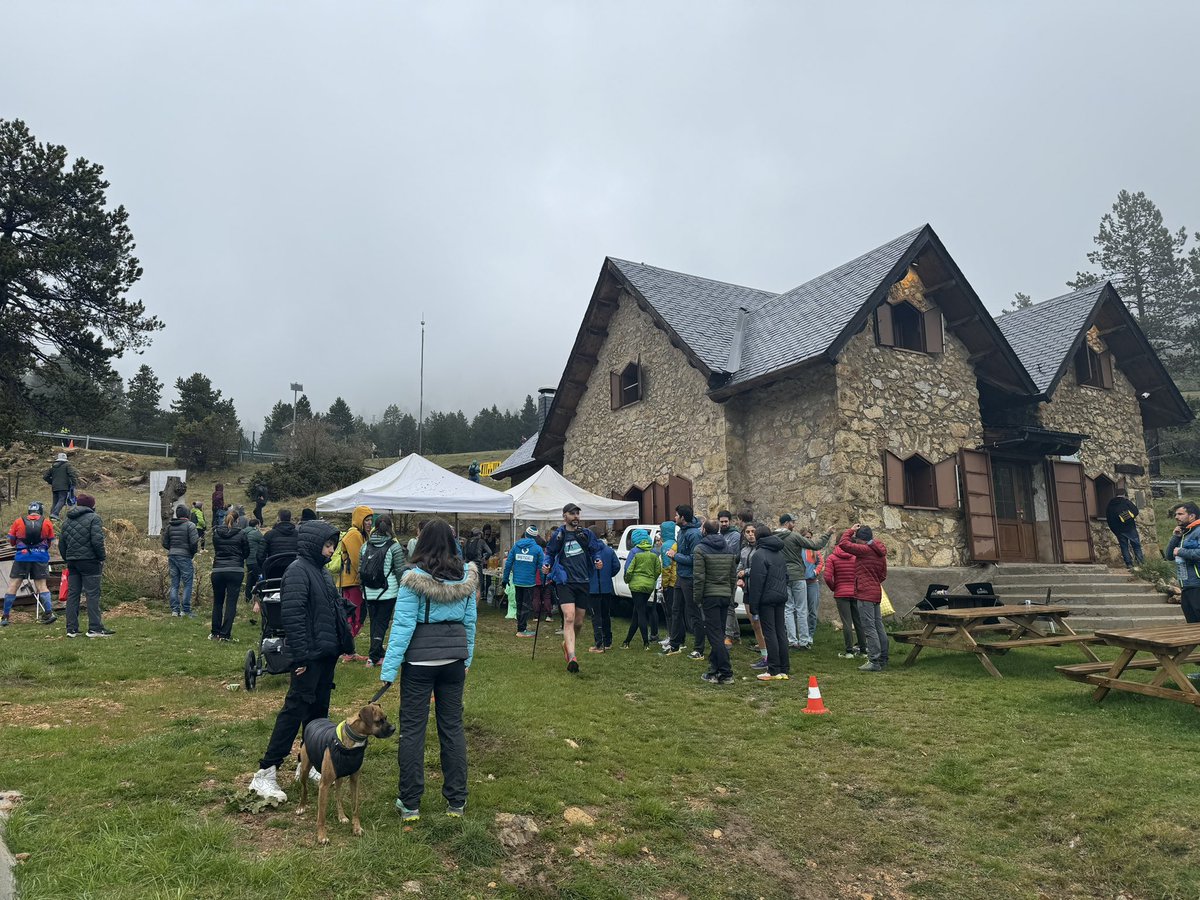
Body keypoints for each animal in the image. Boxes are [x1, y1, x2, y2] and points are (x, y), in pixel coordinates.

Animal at [297, 705, 396, 844]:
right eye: (378, 721)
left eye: (386, 717)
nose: (394, 728)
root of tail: (314, 720)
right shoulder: (324, 785)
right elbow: (321, 815)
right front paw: (321, 836)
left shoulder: (355, 780)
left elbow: (355, 807)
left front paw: (356, 828)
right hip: (305, 769)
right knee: (304, 788)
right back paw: (301, 806)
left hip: (339, 777)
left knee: (338, 796)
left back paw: (342, 816)